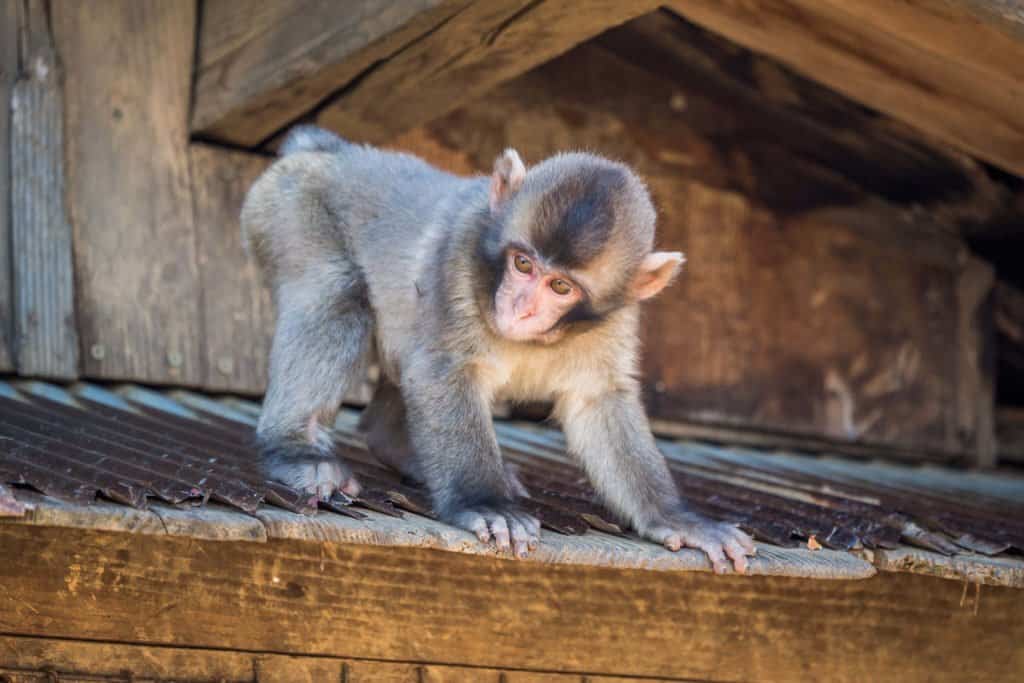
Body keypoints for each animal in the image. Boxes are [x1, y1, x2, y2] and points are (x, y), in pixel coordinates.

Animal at [241, 125, 755, 573]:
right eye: (523, 264)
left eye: (561, 286)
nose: (521, 307)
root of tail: (331, 149)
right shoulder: (458, 257)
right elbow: (443, 372)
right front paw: (484, 502)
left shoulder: (614, 319)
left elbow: (599, 402)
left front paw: (676, 517)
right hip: (290, 207)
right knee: (336, 291)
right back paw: (296, 450)